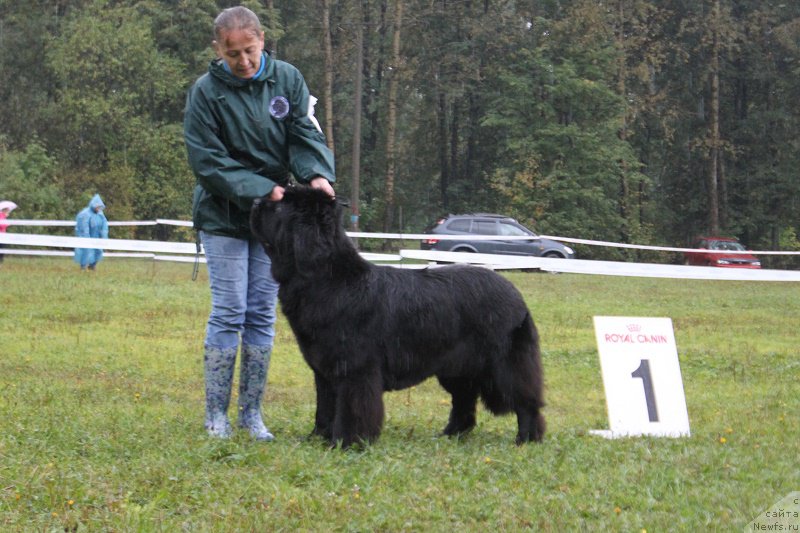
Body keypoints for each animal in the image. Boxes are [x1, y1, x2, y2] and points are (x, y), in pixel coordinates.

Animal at [252, 185, 544, 446]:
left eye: (278, 207)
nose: (255, 201)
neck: (329, 280)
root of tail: (516, 294)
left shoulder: (355, 370)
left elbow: (352, 408)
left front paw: (347, 442)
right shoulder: (324, 370)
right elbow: (325, 406)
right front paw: (317, 438)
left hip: (503, 363)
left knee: (525, 399)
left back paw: (527, 439)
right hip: (456, 366)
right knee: (464, 399)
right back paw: (450, 435)